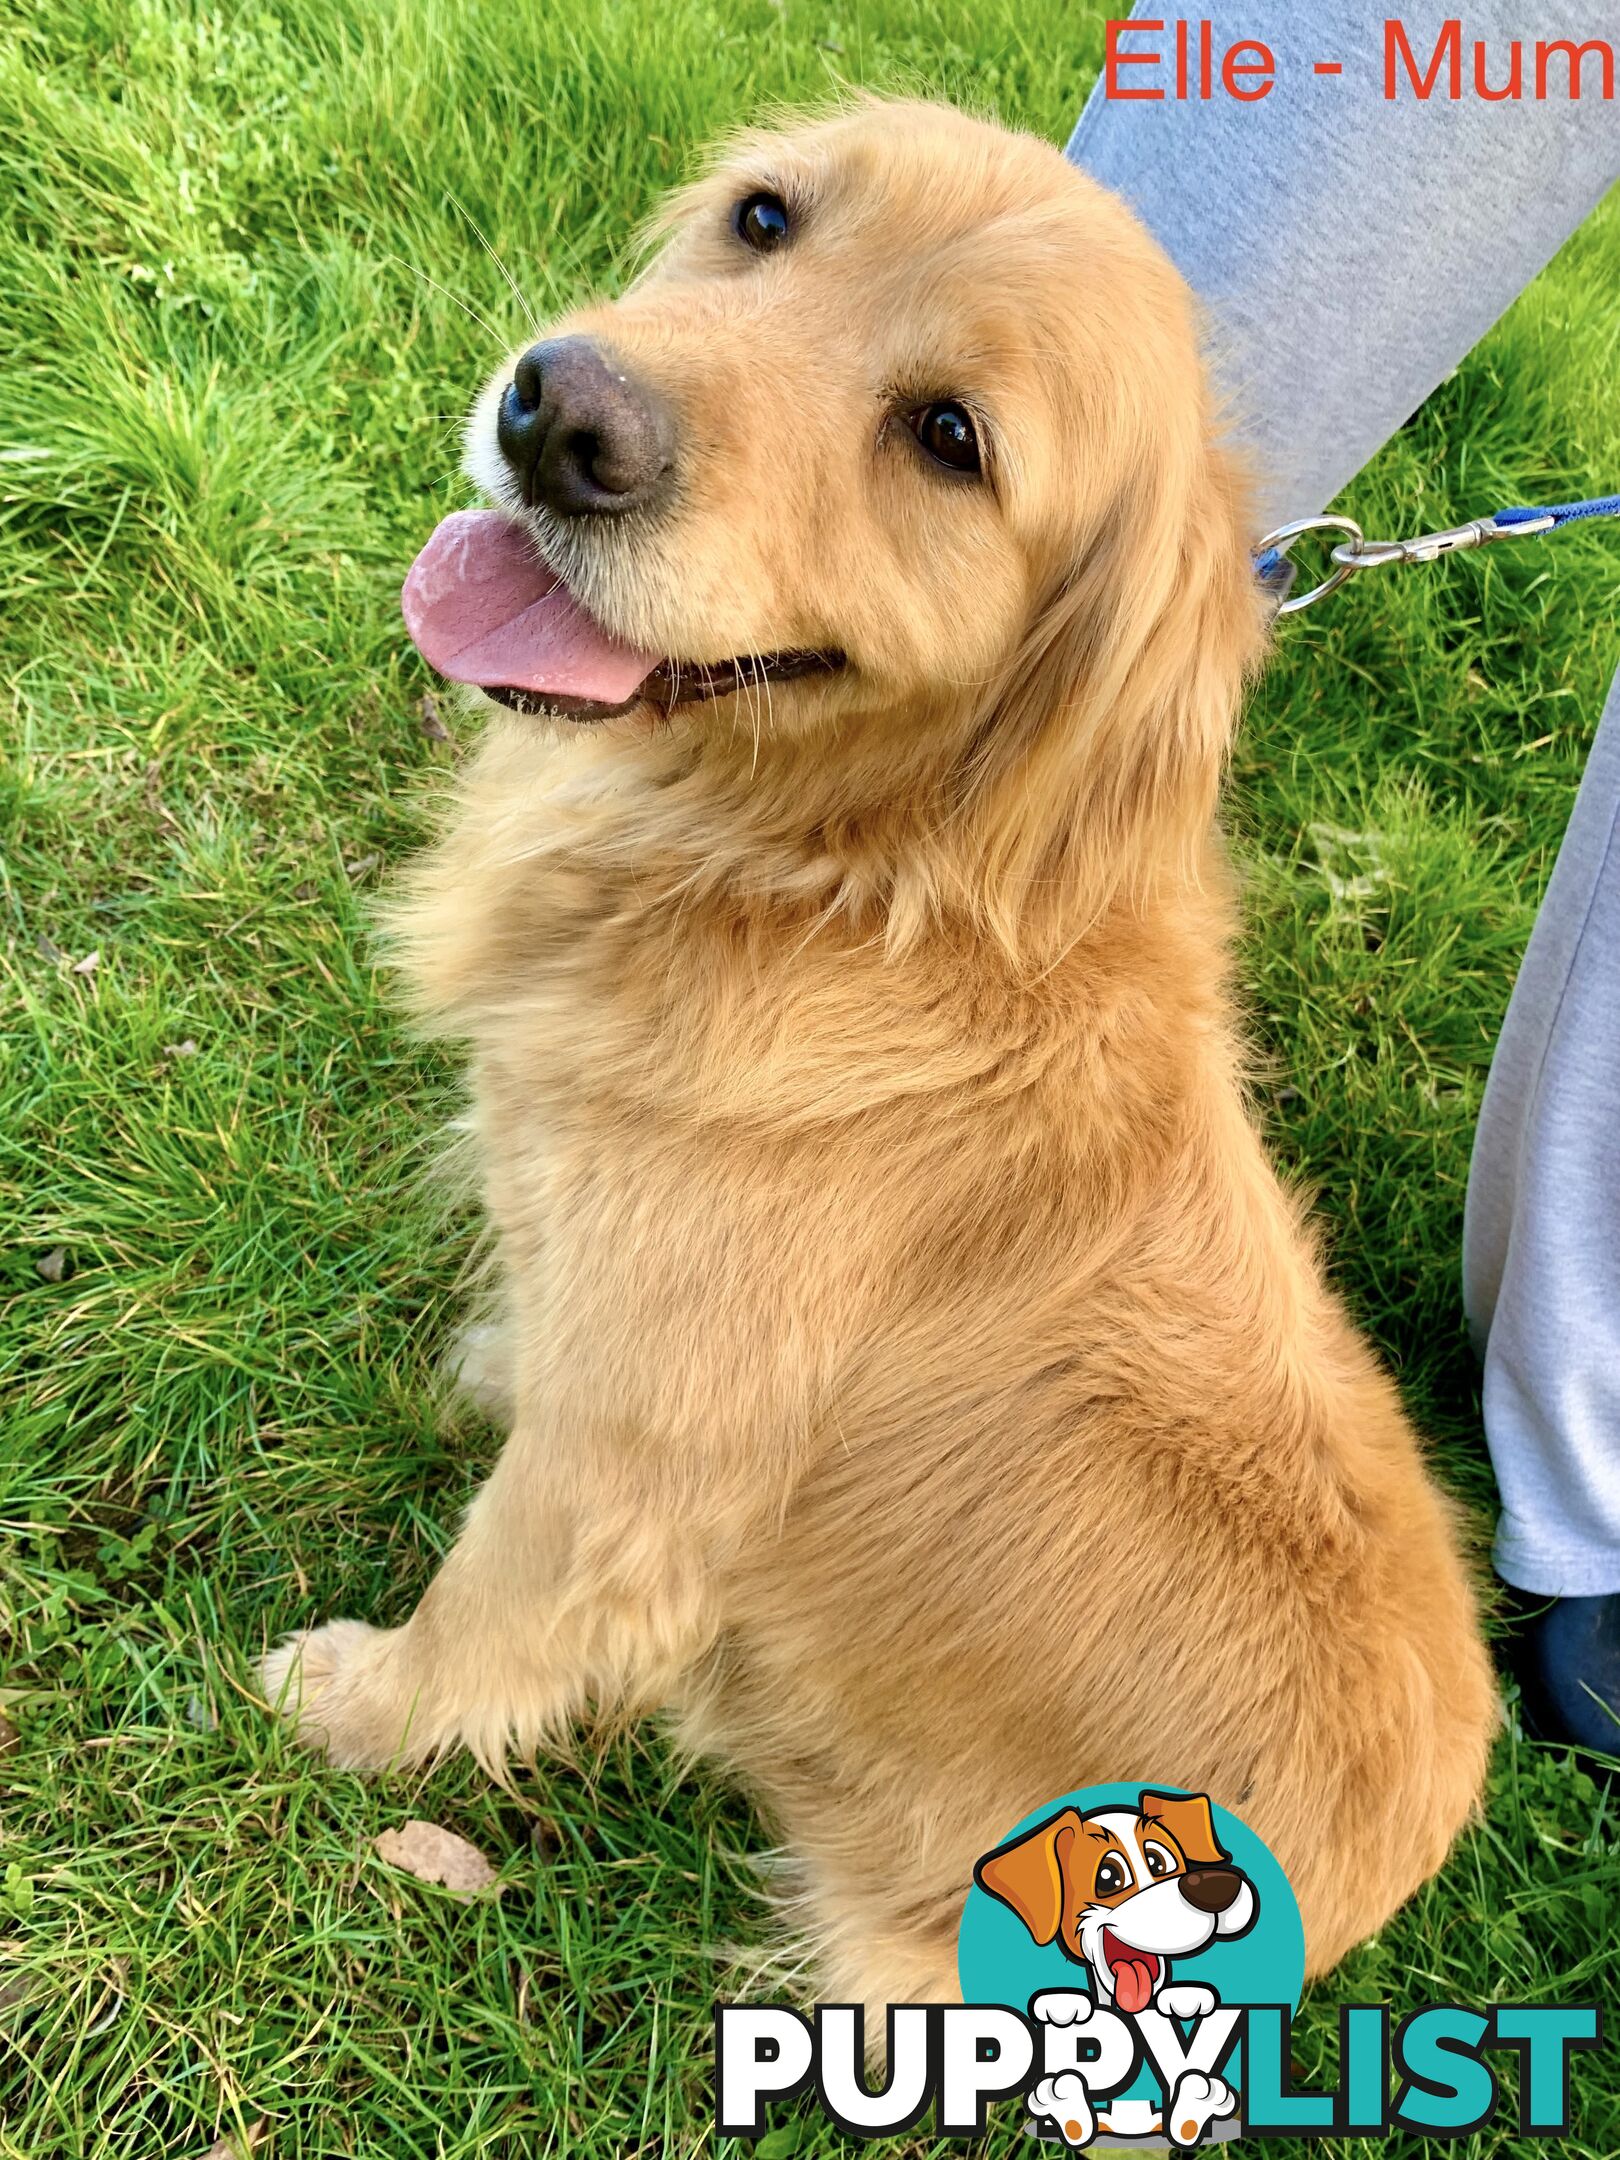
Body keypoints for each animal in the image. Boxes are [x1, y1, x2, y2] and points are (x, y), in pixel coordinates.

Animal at [266, 92, 1494, 2013]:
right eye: (766, 220)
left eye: (949, 439)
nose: (561, 415)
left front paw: (359, 1708)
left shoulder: (627, 1465)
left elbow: (487, 1608)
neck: (833, 884)